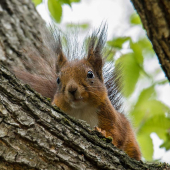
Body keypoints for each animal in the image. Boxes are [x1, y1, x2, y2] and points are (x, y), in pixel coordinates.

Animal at [13, 24, 141, 160]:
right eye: (58, 80)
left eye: (90, 74)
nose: (72, 89)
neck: (81, 109)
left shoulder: (113, 119)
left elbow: (117, 135)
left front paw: (104, 133)